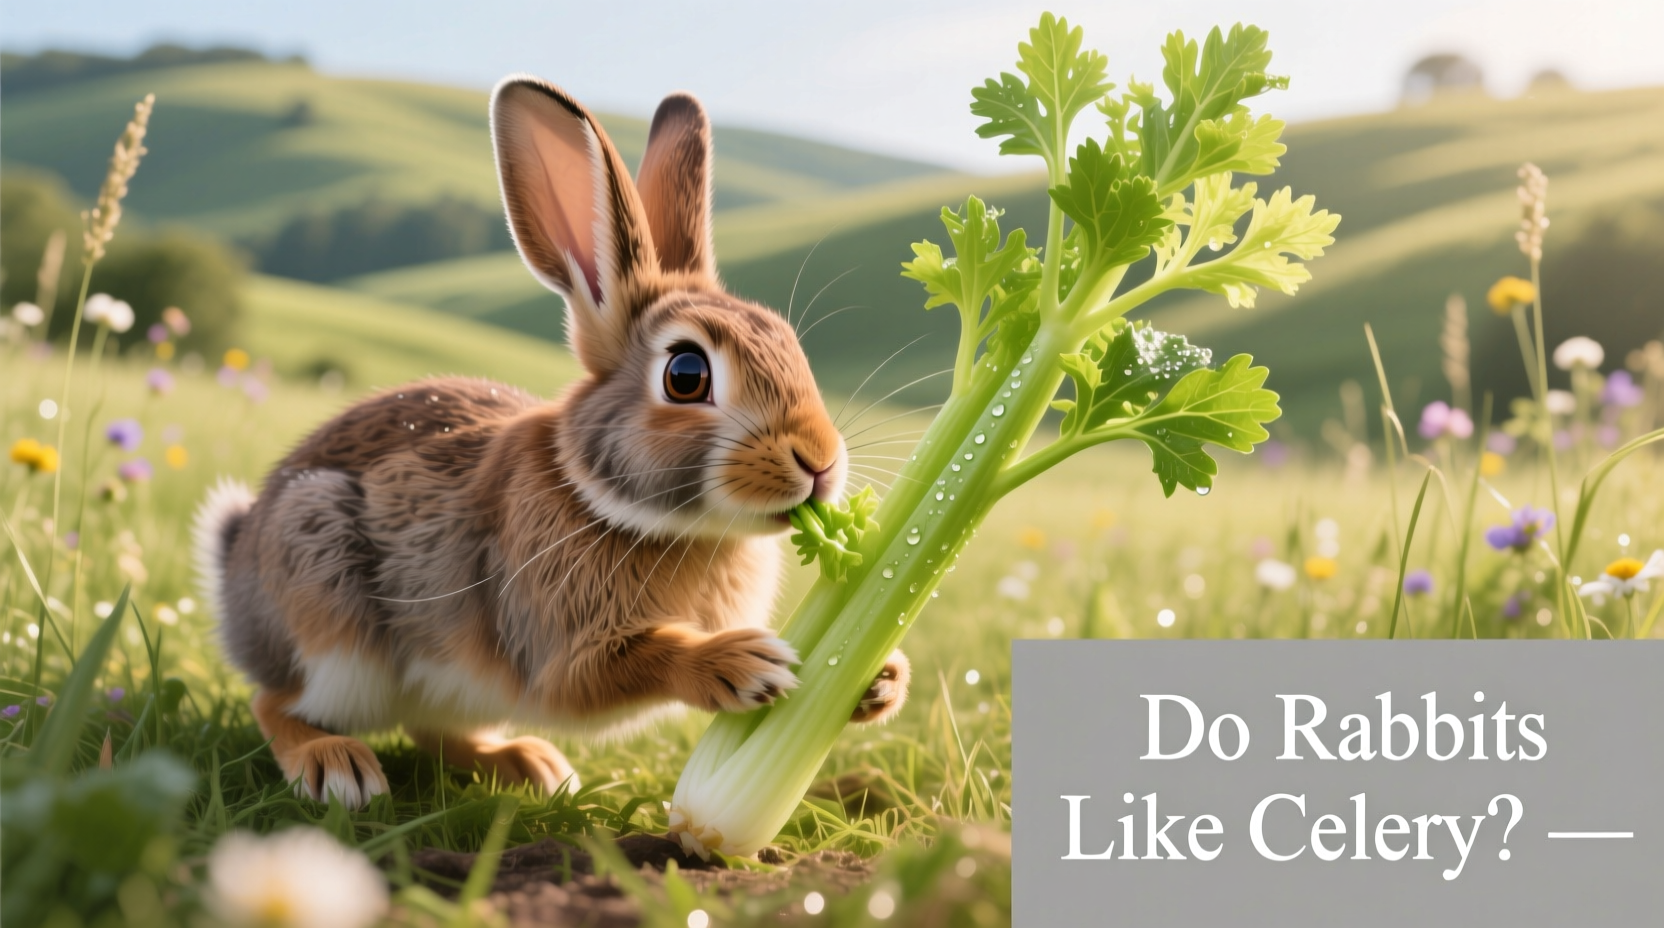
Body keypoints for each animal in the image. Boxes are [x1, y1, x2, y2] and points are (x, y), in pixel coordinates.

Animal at [192, 78, 910, 808]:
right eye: (686, 374)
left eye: (789, 343)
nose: (820, 461)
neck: (610, 502)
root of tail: (234, 562)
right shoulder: (556, 642)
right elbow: (622, 665)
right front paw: (740, 662)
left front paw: (883, 677)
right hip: (325, 608)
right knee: (277, 703)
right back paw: (336, 767)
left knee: (433, 730)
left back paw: (530, 764)